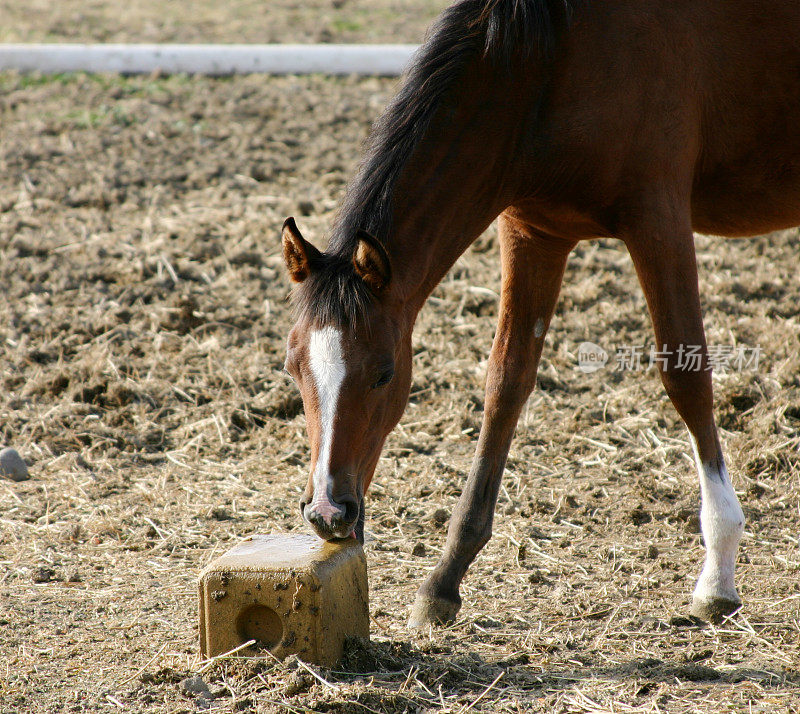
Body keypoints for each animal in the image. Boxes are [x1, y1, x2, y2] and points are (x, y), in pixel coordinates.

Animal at [280, 0, 800, 624]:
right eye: (293, 369)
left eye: (384, 373)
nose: (328, 512)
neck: (553, 62)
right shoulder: (534, 230)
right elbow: (507, 380)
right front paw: (444, 579)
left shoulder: (660, 220)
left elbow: (686, 374)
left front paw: (718, 571)